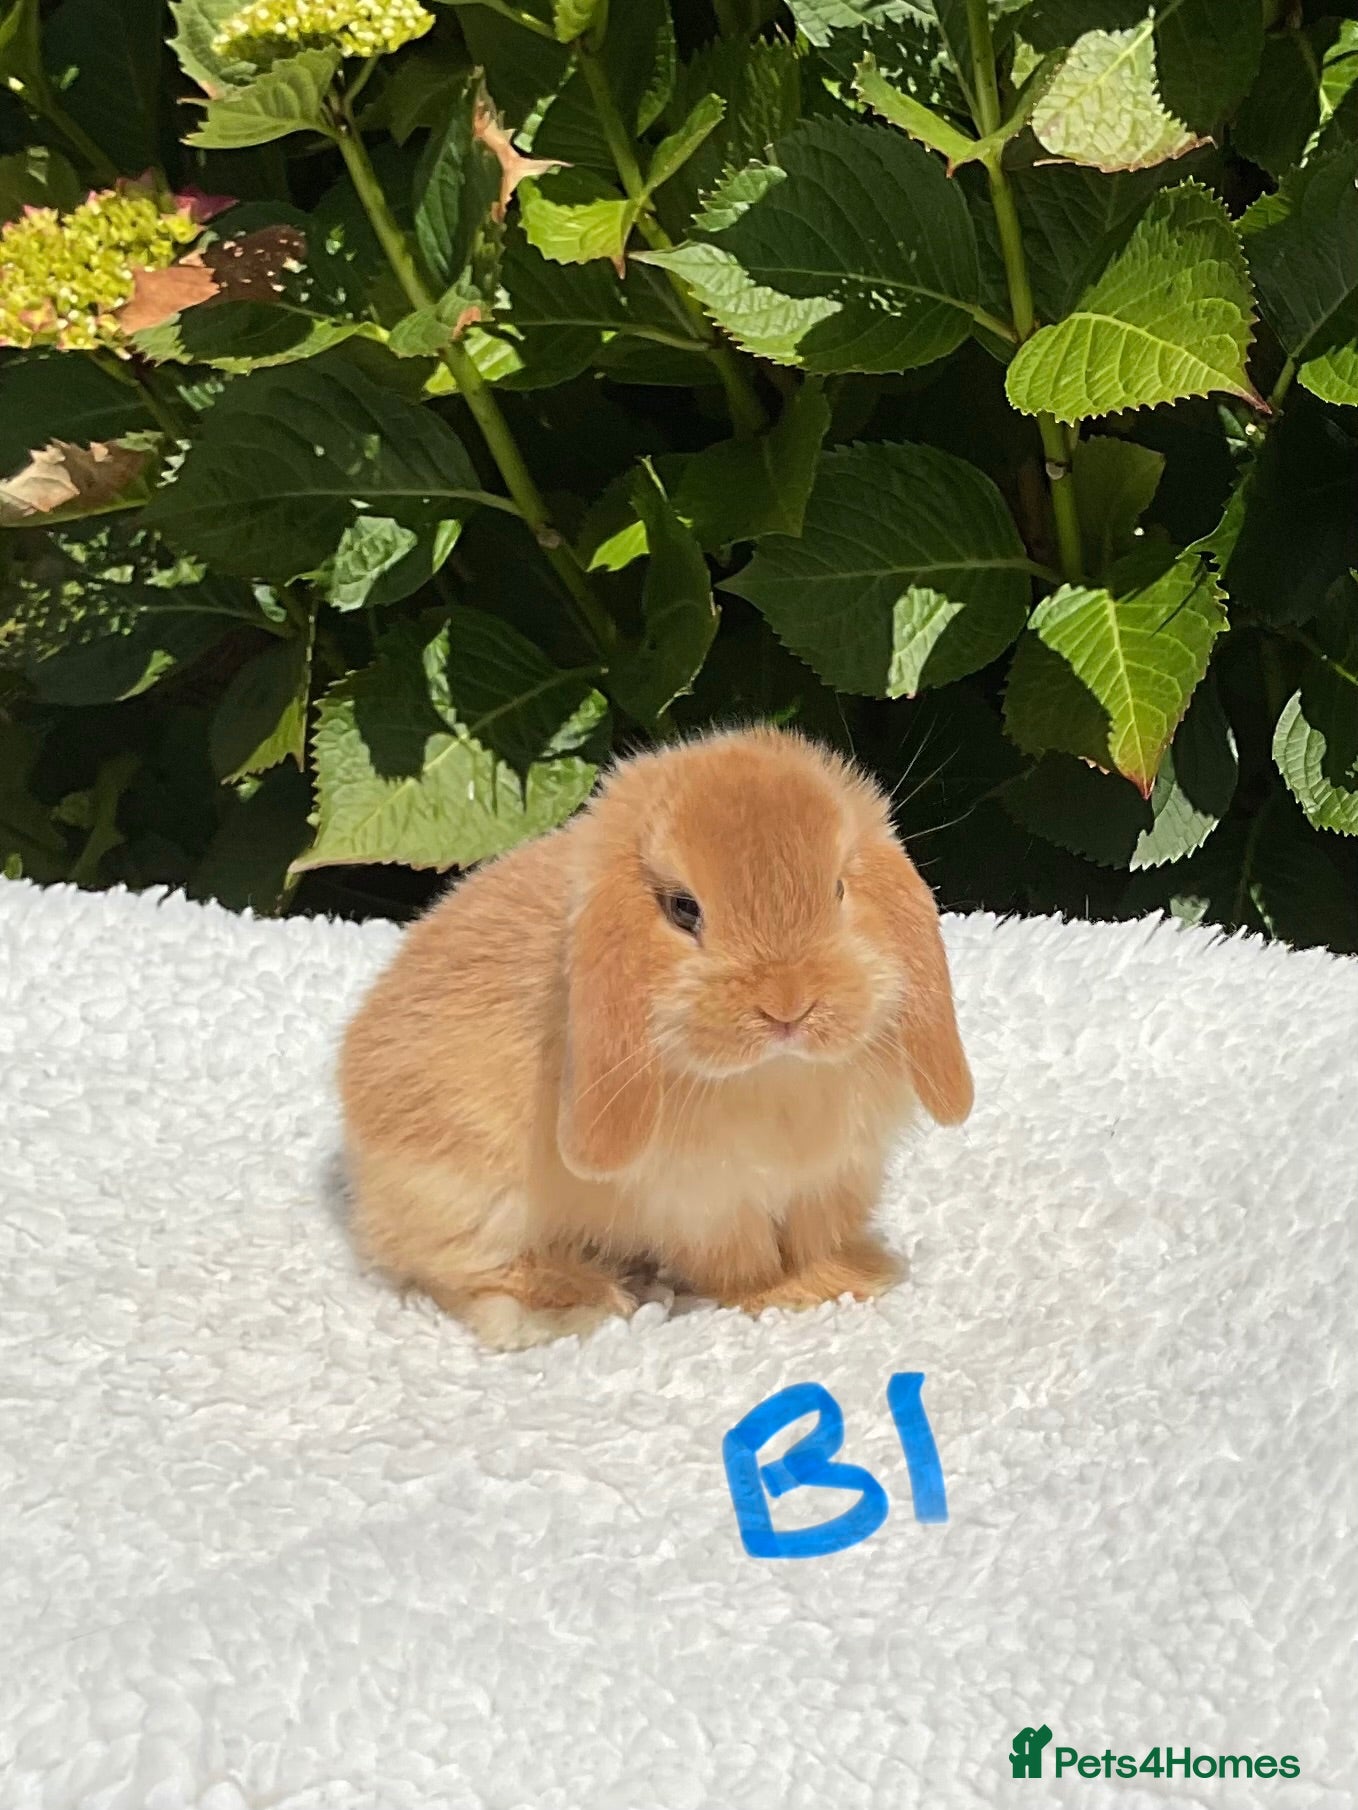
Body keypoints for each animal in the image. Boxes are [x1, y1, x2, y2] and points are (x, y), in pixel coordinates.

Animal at [338, 724, 973, 1351]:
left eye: (839, 890)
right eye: (683, 909)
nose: (788, 1006)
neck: (776, 1072)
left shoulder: (833, 1179)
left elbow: (818, 1236)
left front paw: (852, 1277)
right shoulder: (706, 1203)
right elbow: (741, 1260)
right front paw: (783, 1294)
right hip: (474, 1196)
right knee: (461, 1269)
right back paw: (577, 1302)